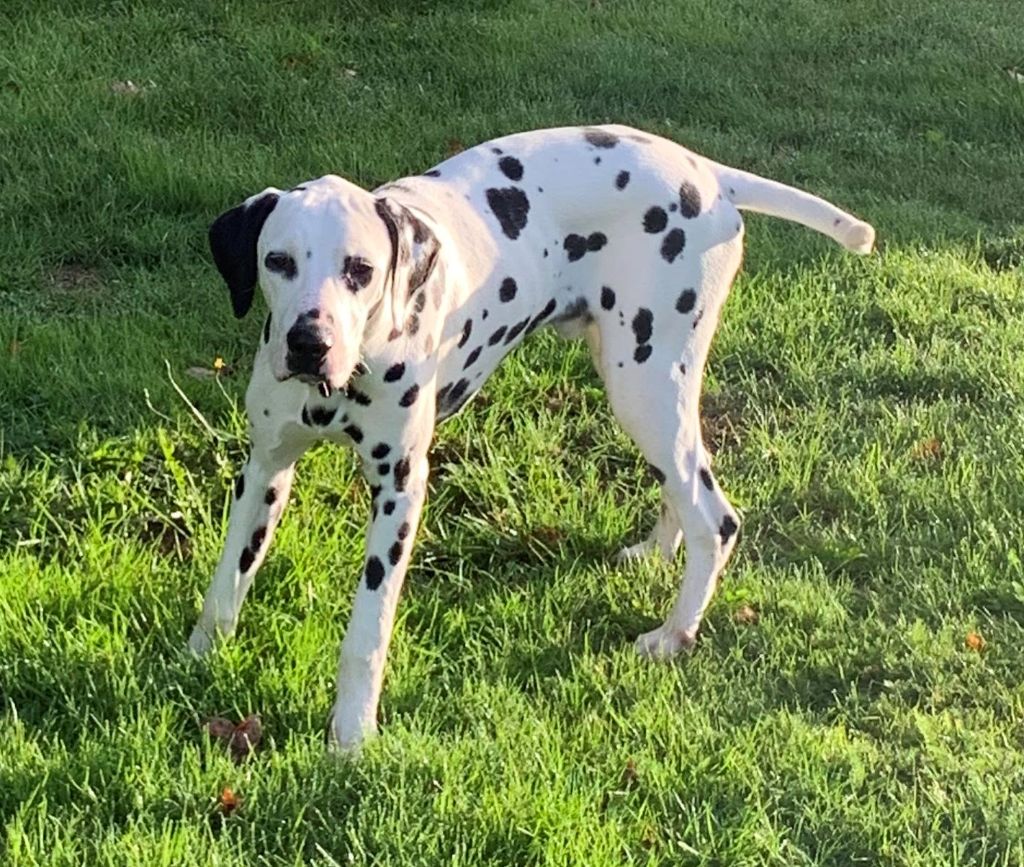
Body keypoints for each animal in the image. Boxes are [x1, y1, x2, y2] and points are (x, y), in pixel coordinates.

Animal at [190, 123, 872, 753]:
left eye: (360, 270)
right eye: (278, 261)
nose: (310, 343)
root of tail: (706, 173)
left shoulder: (400, 490)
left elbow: (367, 631)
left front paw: (352, 734)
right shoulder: (265, 469)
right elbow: (227, 582)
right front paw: (197, 658)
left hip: (644, 385)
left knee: (716, 518)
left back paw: (673, 635)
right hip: (648, 392)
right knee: (683, 484)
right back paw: (656, 553)